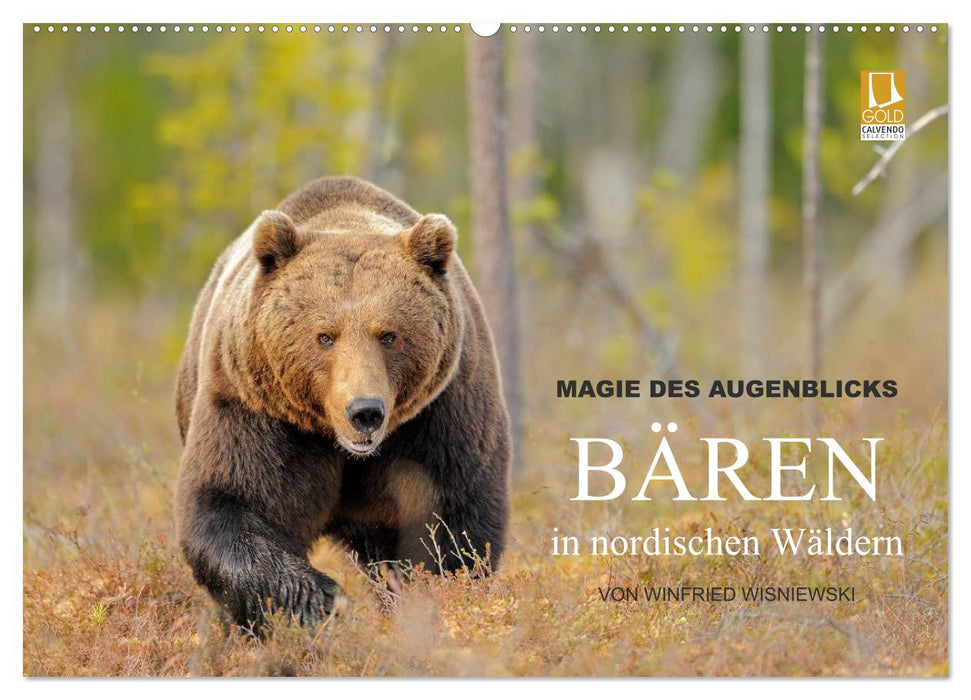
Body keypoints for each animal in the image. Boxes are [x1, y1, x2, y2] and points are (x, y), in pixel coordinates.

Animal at [174, 176, 511, 631]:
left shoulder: (441, 413)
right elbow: (232, 502)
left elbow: (452, 524)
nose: (364, 411)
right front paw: (322, 602)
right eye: (324, 336)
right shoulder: (256, 409)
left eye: (389, 335)